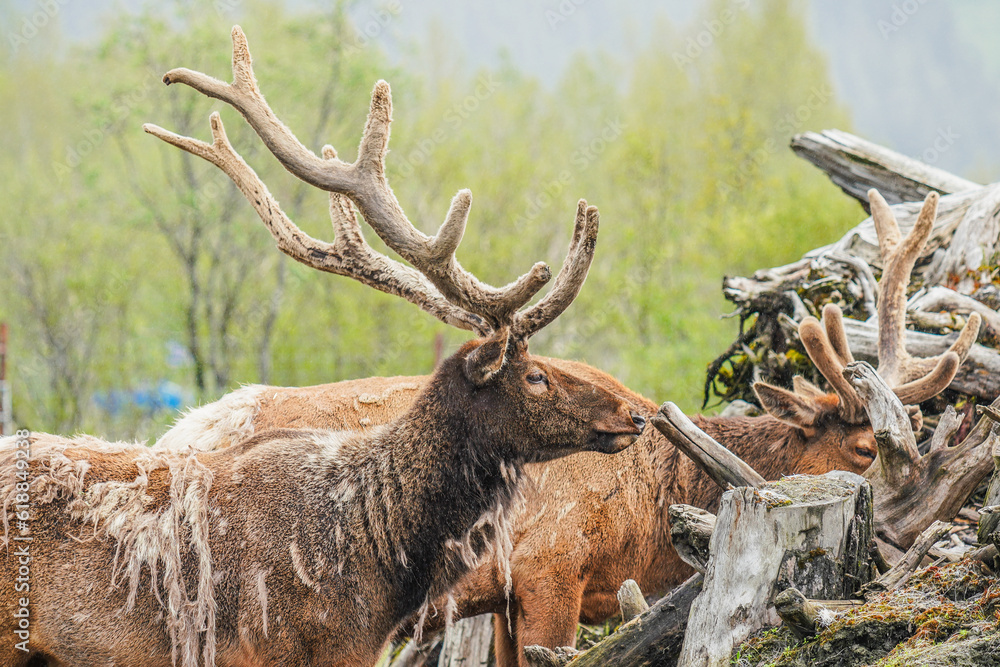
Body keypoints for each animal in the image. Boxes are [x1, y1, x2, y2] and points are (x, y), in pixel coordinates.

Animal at [144, 28, 983, 667]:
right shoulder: (548, 573)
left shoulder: (506, 601)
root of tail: (177, 433)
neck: (651, 520)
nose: (915, 538)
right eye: (867, 450)